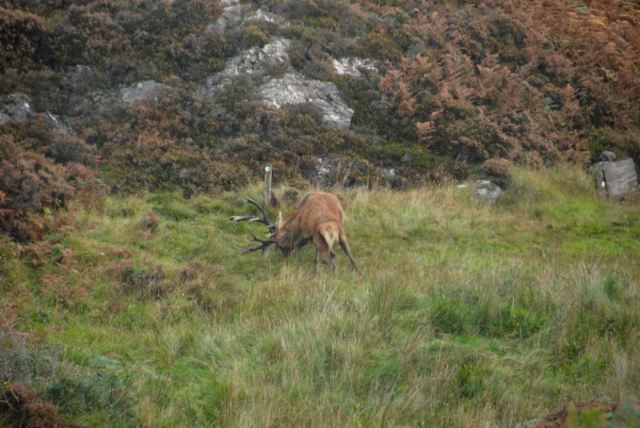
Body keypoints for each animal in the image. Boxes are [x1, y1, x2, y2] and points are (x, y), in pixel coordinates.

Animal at [230, 192, 358, 272]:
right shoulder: (310, 236)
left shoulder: (306, 234)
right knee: (348, 252)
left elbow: (297, 246)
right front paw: (314, 266)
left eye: (280, 246)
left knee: (331, 257)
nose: (285, 257)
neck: (298, 218)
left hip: (321, 240)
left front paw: (299, 266)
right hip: (341, 233)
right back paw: (357, 271)